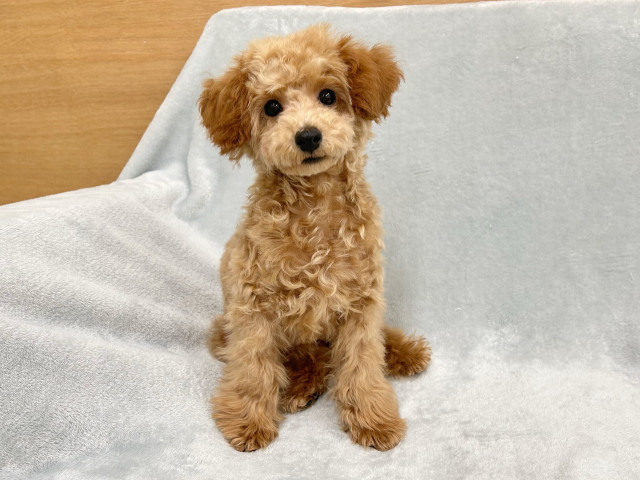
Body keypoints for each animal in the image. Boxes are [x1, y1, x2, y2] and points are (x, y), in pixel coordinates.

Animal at [199, 24, 430, 452]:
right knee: (308, 360)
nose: (308, 136)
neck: (315, 207)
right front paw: (248, 421)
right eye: (272, 107)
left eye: (328, 95)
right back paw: (300, 389)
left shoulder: (361, 301)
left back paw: (403, 352)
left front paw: (373, 419)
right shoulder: (253, 306)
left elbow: (363, 362)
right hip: (232, 330)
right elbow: (254, 366)